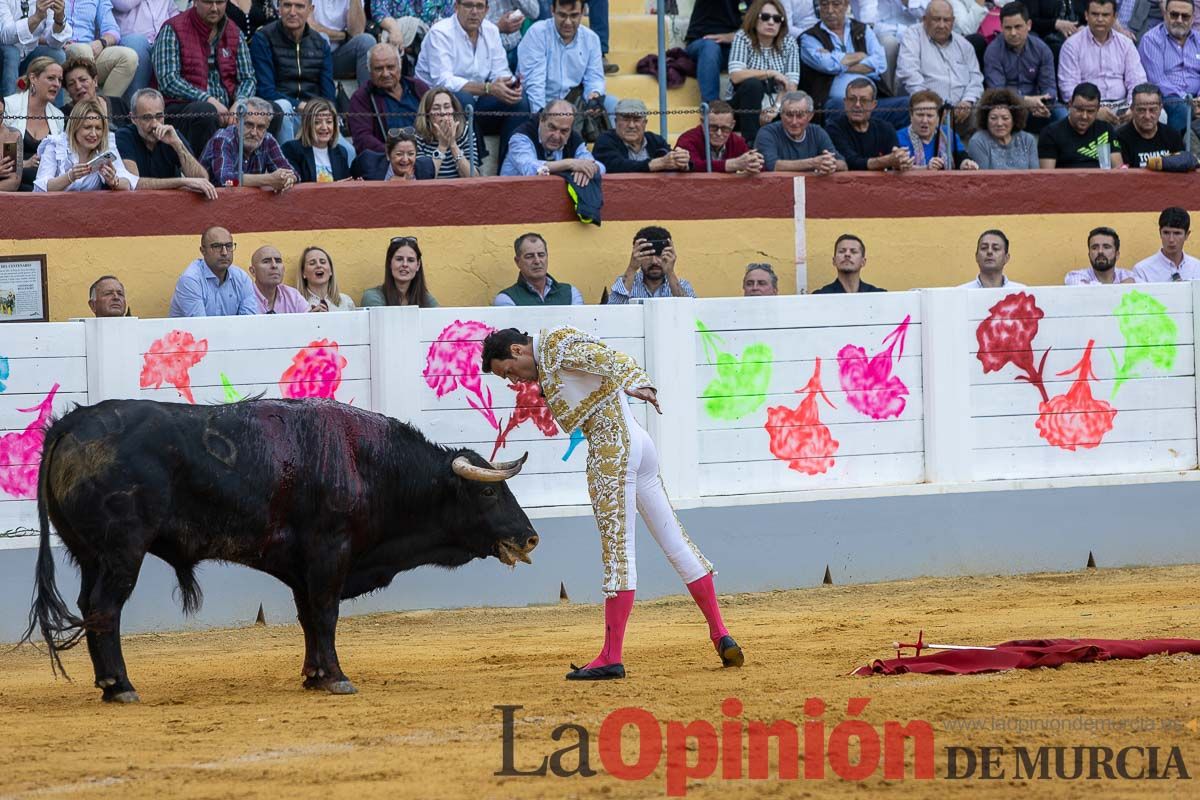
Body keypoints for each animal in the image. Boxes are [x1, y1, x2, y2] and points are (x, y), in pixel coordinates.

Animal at [21, 398, 540, 700]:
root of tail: (72, 423)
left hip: (89, 555)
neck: (370, 463)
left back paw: (107, 684)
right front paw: (337, 678)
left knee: (89, 606)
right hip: (121, 552)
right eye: (489, 494)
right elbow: (326, 614)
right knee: (106, 610)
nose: (531, 536)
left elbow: (308, 617)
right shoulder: (330, 551)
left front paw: (314, 675)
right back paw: (121, 686)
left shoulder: (301, 566)